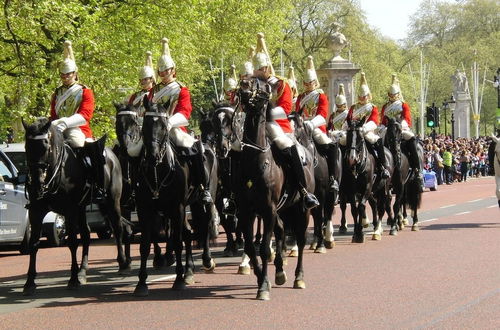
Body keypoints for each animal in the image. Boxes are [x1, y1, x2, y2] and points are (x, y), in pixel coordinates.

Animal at [22, 117, 130, 296]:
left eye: (45, 144)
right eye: (26, 146)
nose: (37, 183)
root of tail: (112, 153)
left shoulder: (70, 210)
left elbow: (72, 242)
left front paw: (72, 280)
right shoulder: (36, 212)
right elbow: (33, 244)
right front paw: (29, 282)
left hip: (111, 202)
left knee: (118, 228)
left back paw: (122, 264)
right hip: (82, 208)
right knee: (86, 234)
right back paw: (82, 271)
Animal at [234, 77, 312, 300]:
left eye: (263, 86)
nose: (243, 85)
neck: (255, 160)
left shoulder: (268, 210)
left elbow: (263, 249)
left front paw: (263, 287)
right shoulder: (246, 211)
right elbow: (251, 248)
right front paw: (263, 279)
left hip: (301, 210)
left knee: (301, 240)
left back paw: (298, 278)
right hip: (283, 210)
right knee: (281, 230)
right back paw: (279, 272)